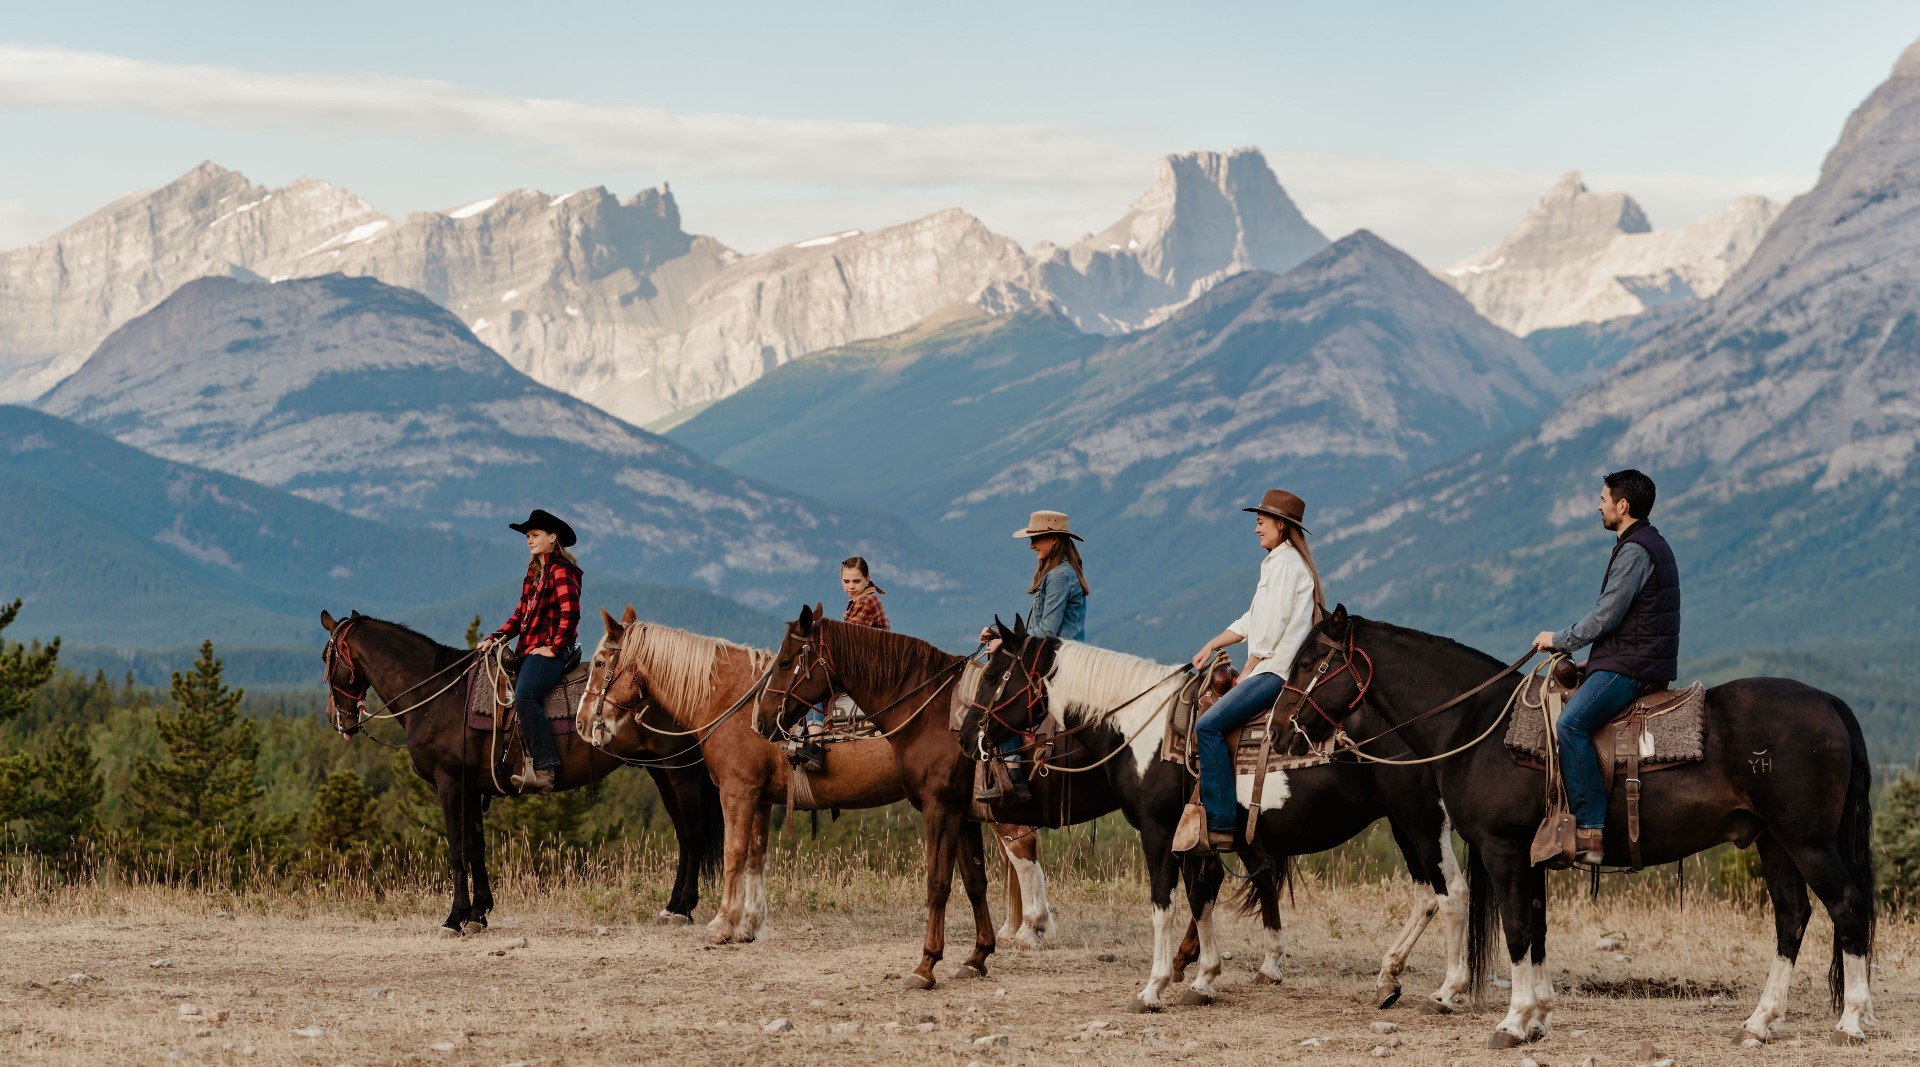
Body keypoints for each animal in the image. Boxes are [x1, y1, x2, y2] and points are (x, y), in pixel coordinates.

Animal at [320, 610, 721, 932]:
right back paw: (673, 906)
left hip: (679, 770)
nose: (336, 719)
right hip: (662, 771)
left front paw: (455, 917)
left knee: (695, 831)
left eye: (327, 658)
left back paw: (684, 909)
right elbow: (476, 846)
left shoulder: (450, 783)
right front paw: (479, 913)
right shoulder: (471, 787)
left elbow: (457, 849)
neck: (437, 694)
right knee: (685, 835)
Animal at [576, 602, 1059, 948]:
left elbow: (733, 854)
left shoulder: (737, 792)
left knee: (1021, 847)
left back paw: (1031, 929)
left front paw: (720, 924)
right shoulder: (761, 798)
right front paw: (748, 925)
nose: (582, 724)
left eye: (599, 663)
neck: (733, 701)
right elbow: (755, 858)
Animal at [960, 617, 1466, 1005]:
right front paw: (1204, 980)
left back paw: (1448, 990)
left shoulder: (1158, 831)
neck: (1140, 727)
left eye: (994, 676)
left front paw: (1154, 987)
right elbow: (1200, 899)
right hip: (1402, 823)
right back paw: (1389, 977)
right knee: (1426, 895)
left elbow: (1163, 906)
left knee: (1452, 892)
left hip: (1421, 819)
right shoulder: (1193, 838)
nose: (966, 737)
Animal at [1274, 610, 1873, 1051]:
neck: (1474, 726)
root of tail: (1828, 701)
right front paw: (1538, 1018)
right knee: (1792, 919)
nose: (1280, 731)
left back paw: (1850, 1023)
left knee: (1847, 908)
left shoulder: (1502, 850)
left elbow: (1518, 931)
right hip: (1774, 843)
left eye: (1309, 662)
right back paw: (1760, 1021)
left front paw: (1512, 1022)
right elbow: (1537, 932)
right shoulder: (1531, 856)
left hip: (1807, 842)